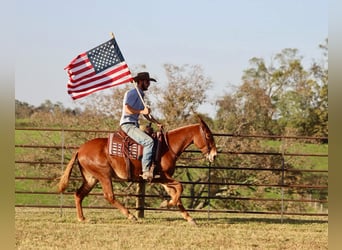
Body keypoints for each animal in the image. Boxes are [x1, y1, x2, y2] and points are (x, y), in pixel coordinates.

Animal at [57, 116, 215, 226]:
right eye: (208, 136)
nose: (214, 155)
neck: (166, 147)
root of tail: (80, 149)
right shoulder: (161, 176)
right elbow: (180, 187)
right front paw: (165, 204)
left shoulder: (164, 179)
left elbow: (176, 195)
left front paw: (189, 218)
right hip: (104, 175)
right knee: (109, 196)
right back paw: (131, 216)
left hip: (91, 178)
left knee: (79, 194)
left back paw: (82, 218)